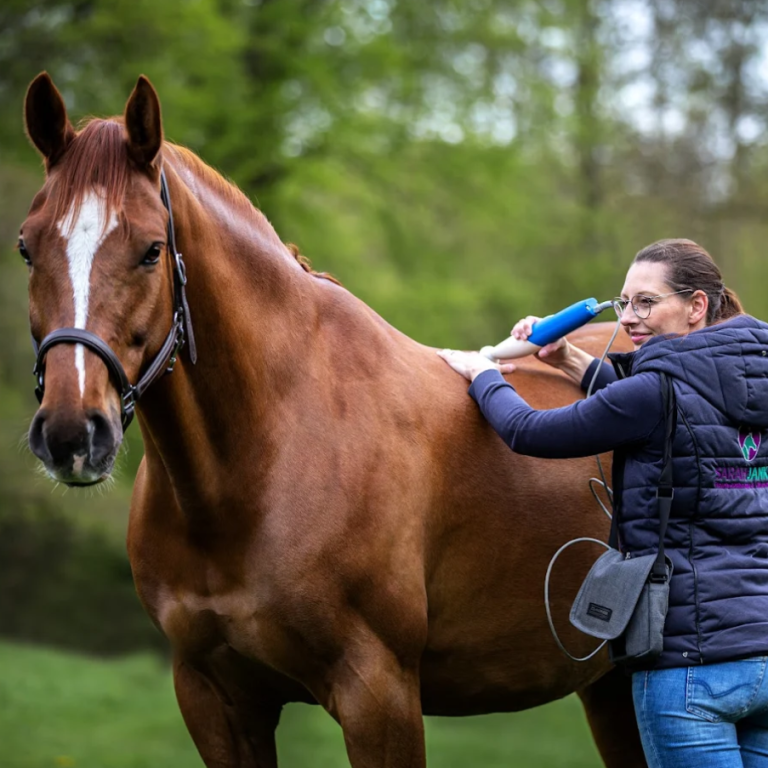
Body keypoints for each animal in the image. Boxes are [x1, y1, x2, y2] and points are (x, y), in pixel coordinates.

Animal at [20, 72, 643, 767]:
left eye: (152, 251)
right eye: (26, 248)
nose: (71, 432)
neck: (265, 455)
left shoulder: (378, 693)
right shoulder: (213, 697)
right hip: (610, 687)